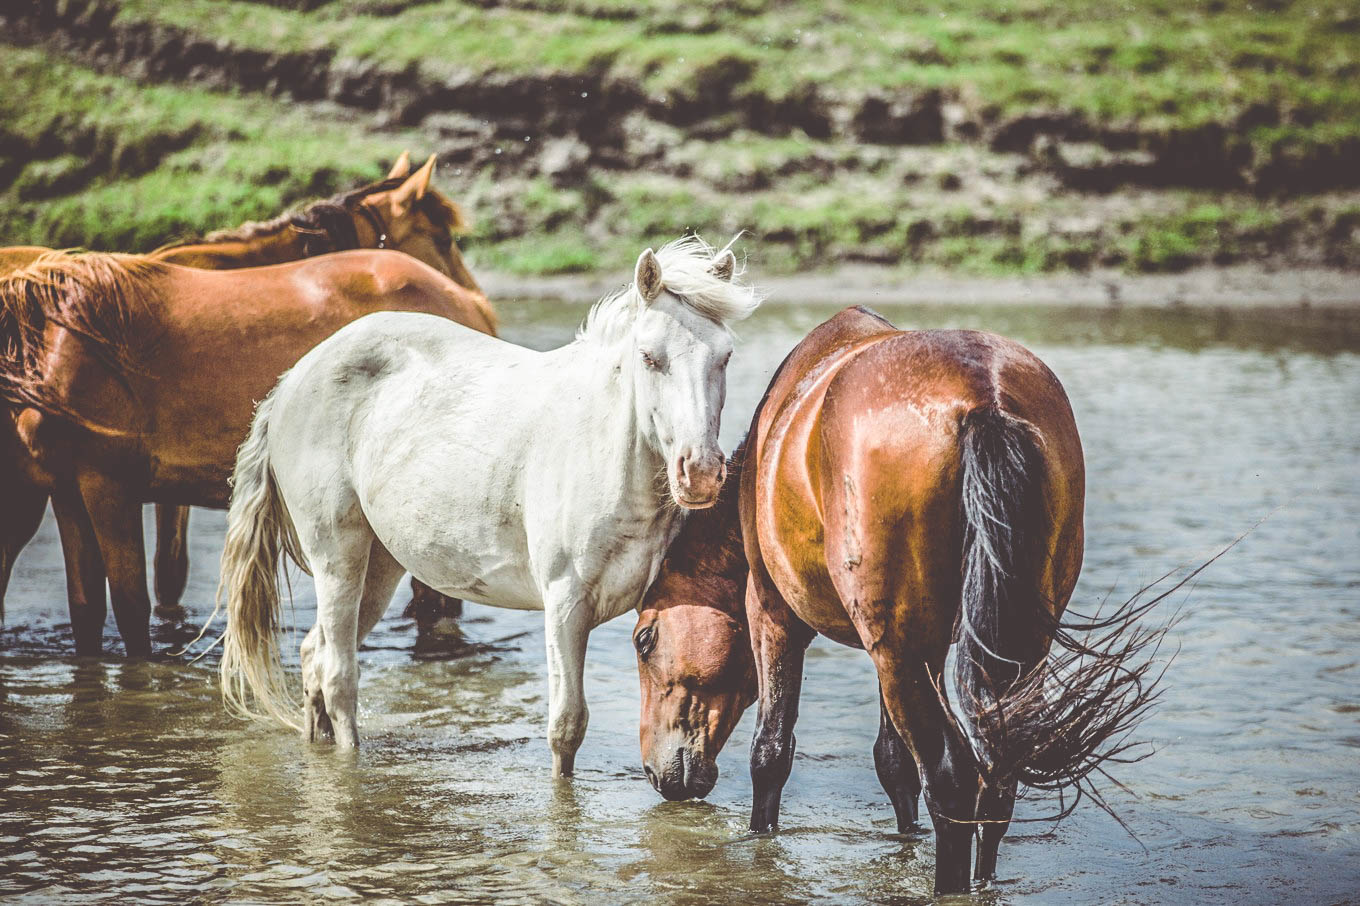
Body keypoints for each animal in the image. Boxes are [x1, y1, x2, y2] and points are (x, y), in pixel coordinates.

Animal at [217, 236, 761, 772]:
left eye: (726, 356)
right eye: (649, 357)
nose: (701, 471)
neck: (605, 451)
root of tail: (293, 379)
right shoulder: (565, 604)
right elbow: (566, 727)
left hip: (378, 566)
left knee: (315, 656)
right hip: (338, 557)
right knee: (338, 677)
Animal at [633, 303, 1169, 886]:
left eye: (643, 640)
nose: (654, 772)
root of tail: (985, 398)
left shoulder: (773, 612)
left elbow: (771, 752)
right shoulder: (905, 647)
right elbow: (893, 763)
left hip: (899, 652)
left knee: (953, 779)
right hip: (978, 651)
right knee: (995, 774)